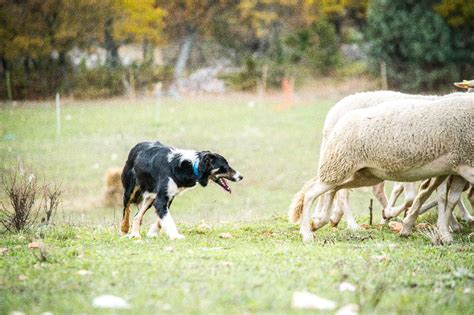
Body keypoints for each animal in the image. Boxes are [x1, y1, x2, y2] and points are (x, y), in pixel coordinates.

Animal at [288, 95, 474, 243]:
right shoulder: (465, 167)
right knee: (311, 193)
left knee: (333, 189)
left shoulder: (459, 167)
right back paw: (308, 234)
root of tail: (337, 122)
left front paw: (446, 234)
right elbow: (437, 197)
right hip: (340, 164)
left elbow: (450, 199)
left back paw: (320, 222)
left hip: (363, 173)